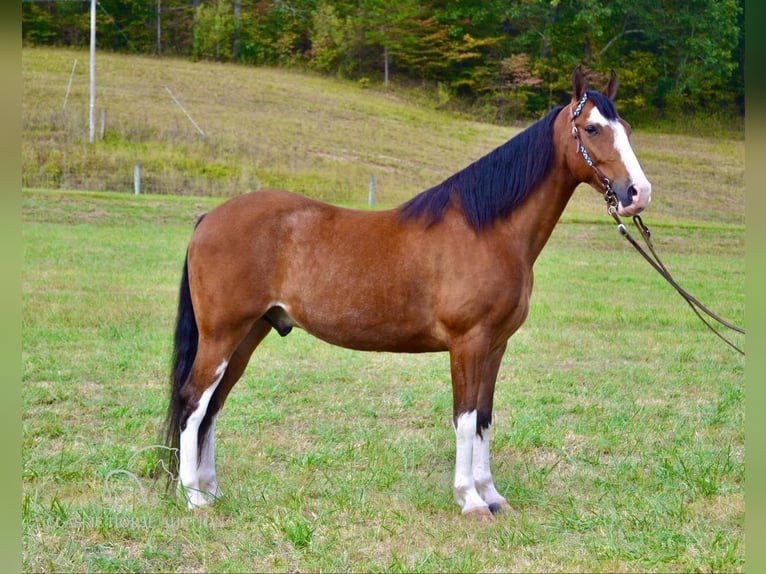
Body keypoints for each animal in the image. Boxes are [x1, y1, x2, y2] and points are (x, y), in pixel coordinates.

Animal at [164, 66, 656, 520]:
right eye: (592, 129)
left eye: (628, 129)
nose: (638, 193)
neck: (488, 230)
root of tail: (209, 218)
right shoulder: (468, 343)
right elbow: (465, 420)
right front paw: (470, 501)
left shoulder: (495, 346)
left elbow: (485, 419)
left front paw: (493, 496)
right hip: (223, 335)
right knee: (193, 404)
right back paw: (194, 498)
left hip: (249, 334)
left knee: (213, 407)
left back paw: (211, 490)